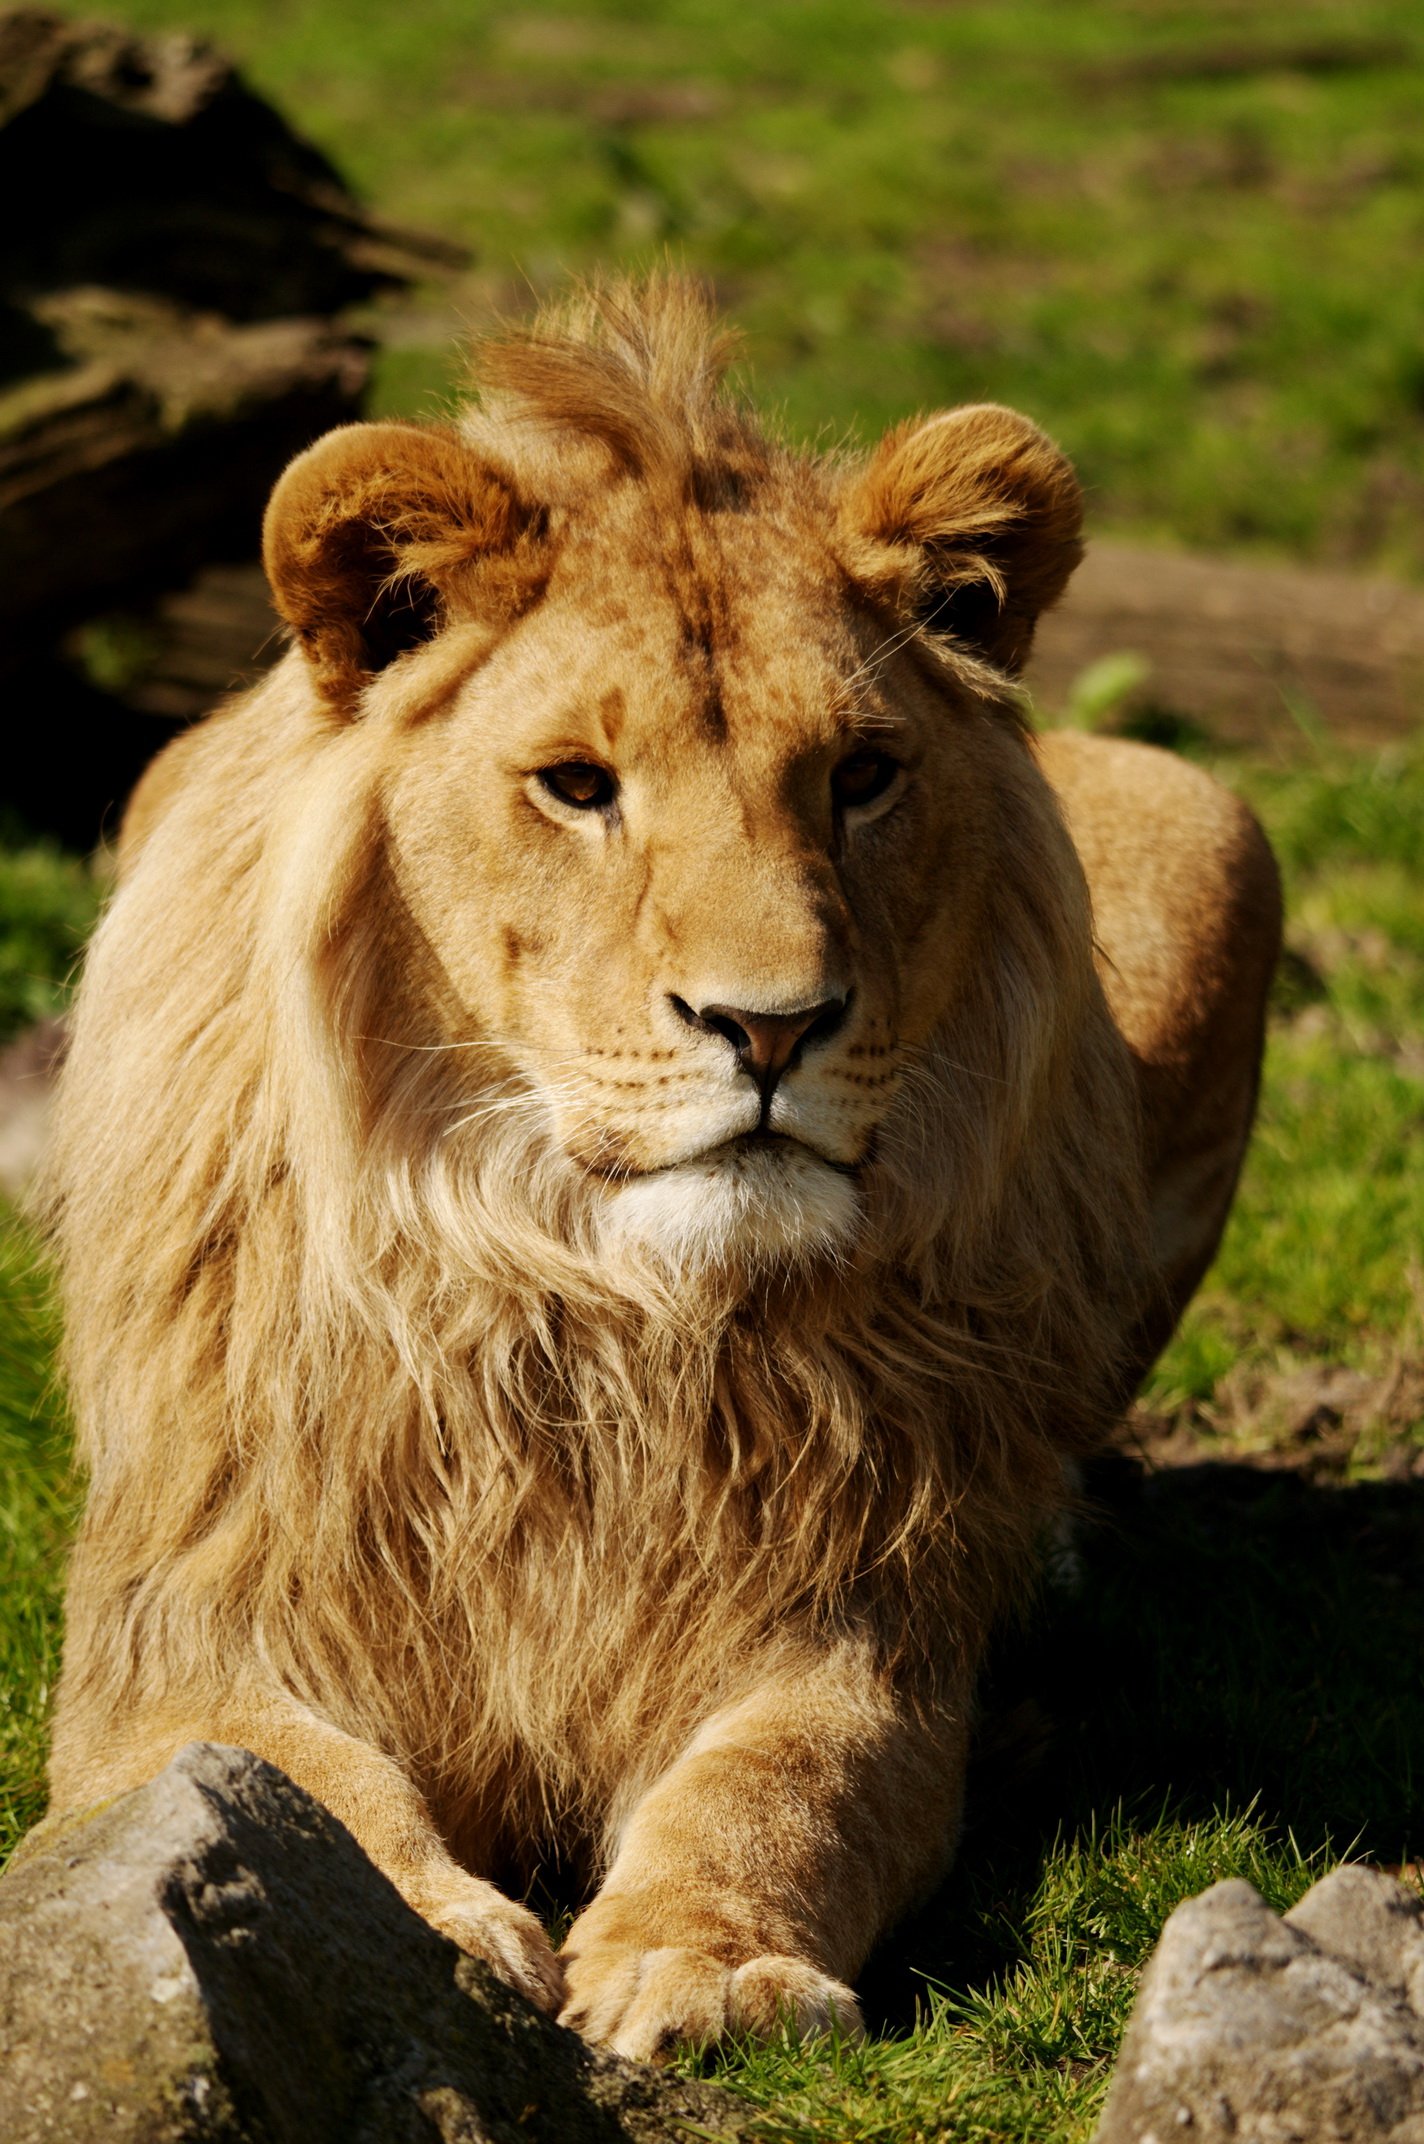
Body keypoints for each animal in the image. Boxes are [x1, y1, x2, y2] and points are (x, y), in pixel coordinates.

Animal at [41, 285, 1278, 2058]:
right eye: (577, 785)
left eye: (860, 776)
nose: (772, 1027)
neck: (585, 1314)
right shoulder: (162, 1639)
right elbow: (303, 1782)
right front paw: (421, 1938)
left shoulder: (853, 1626)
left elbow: (783, 1784)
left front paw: (707, 1964)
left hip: (1216, 824)